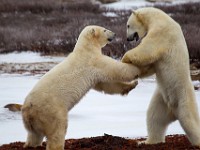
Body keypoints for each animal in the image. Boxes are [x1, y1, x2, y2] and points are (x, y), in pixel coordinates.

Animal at [122, 7, 200, 146]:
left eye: (128, 25)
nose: (128, 38)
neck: (157, 17)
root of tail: (173, 112)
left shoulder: (162, 32)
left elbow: (148, 48)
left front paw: (125, 57)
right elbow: (151, 65)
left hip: (183, 96)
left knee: (189, 119)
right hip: (162, 99)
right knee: (154, 117)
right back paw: (147, 142)